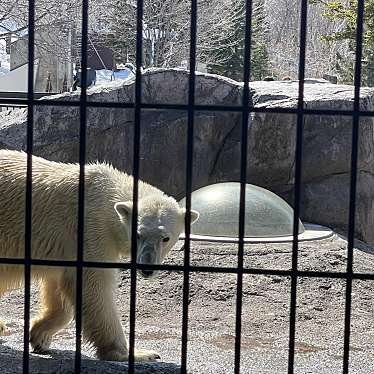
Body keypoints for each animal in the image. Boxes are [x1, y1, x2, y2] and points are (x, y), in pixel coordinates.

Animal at [0, 150, 199, 360]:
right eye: (137, 234)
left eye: (165, 238)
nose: (146, 268)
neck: (106, 193)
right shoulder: (92, 229)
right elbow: (93, 286)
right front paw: (136, 353)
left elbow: (60, 287)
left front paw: (40, 335)